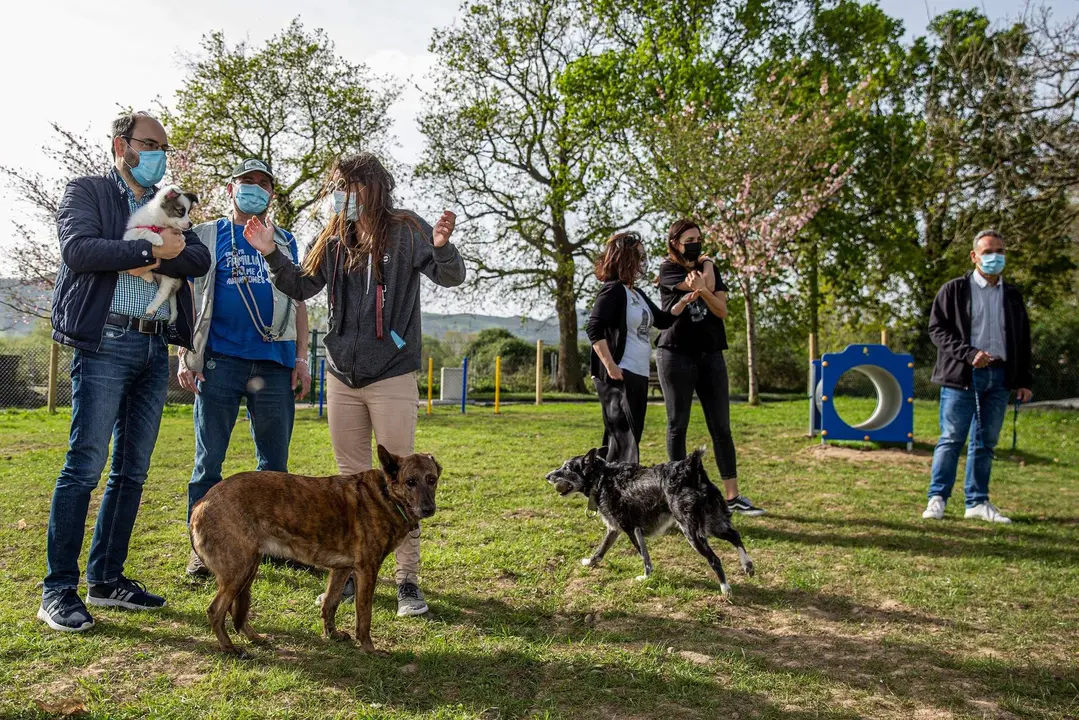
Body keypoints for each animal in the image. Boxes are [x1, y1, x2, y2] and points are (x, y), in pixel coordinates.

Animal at [188, 442, 438, 656]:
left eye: (432, 480)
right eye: (410, 482)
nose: (428, 509)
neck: (387, 494)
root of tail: (202, 502)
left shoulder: (341, 569)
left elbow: (330, 603)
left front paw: (332, 634)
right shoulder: (367, 570)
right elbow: (364, 616)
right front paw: (369, 649)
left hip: (249, 568)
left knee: (235, 610)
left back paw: (253, 637)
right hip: (239, 571)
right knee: (215, 610)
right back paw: (229, 647)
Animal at [543, 446, 755, 595]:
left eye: (566, 468)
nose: (547, 476)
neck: (601, 478)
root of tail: (690, 468)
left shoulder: (631, 529)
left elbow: (645, 558)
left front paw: (645, 578)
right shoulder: (615, 529)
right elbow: (601, 550)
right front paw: (589, 563)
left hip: (692, 532)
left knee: (715, 558)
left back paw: (725, 588)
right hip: (712, 523)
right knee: (735, 535)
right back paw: (748, 566)